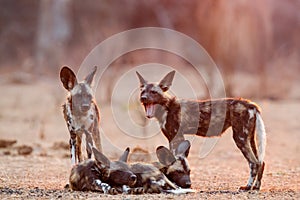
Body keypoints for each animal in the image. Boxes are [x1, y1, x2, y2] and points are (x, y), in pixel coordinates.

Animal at [137, 70, 268, 191]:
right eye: (143, 92)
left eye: (153, 92)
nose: (143, 98)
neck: (166, 108)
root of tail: (250, 104)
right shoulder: (171, 138)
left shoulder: (177, 136)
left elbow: (177, 159)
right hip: (249, 138)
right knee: (261, 162)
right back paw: (256, 187)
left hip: (240, 138)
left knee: (253, 163)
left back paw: (248, 186)